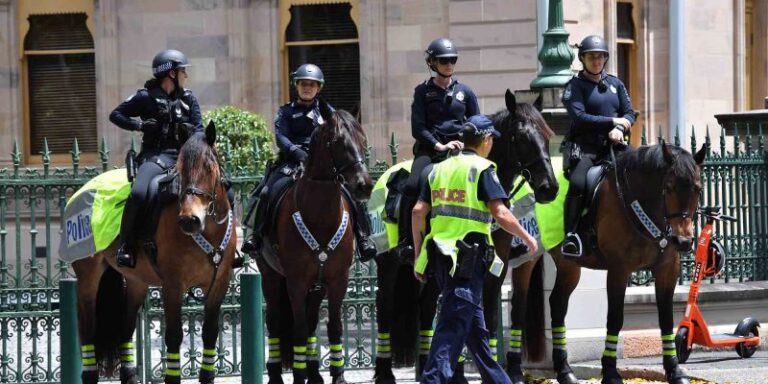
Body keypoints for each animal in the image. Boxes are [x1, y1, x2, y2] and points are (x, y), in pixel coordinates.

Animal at [75, 124, 238, 384]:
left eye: (209, 168)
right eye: (180, 172)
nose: (189, 220)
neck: (209, 230)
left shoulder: (219, 284)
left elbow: (210, 333)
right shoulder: (172, 284)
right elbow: (173, 336)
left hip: (136, 282)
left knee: (125, 328)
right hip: (88, 279)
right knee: (87, 330)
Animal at [256, 103, 374, 384]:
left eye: (363, 140)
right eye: (337, 141)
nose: (364, 186)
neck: (320, 215)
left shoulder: (338, 280)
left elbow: (333, 327)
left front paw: (338, 375)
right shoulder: (296, 281)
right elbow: (298, 329)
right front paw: (299, 376)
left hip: (316, 286)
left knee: (311, 323)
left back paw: (313, 373)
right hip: (271, 276)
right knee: (275, 322)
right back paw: (277, 374)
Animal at [374, 91, 560, 384]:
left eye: (546, 134)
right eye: (521, 137)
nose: (549, 188)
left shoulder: (497, 266)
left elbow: (490, 316)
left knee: (425, 308)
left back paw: (426, 365)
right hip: (388, 263)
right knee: (385, 308)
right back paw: (384, 373)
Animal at [508, 142, 704, 384]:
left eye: (697, 189)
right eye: (668, 187)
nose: (683, 241)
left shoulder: (667, 270)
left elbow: (667, 320)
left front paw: (674, 371)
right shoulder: (619, 270)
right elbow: (615, 318)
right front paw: (610, 372)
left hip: (568, 265)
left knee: (557, 304)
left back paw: (564, 370)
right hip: (526, 259)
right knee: (519, 307)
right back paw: (515, 370)